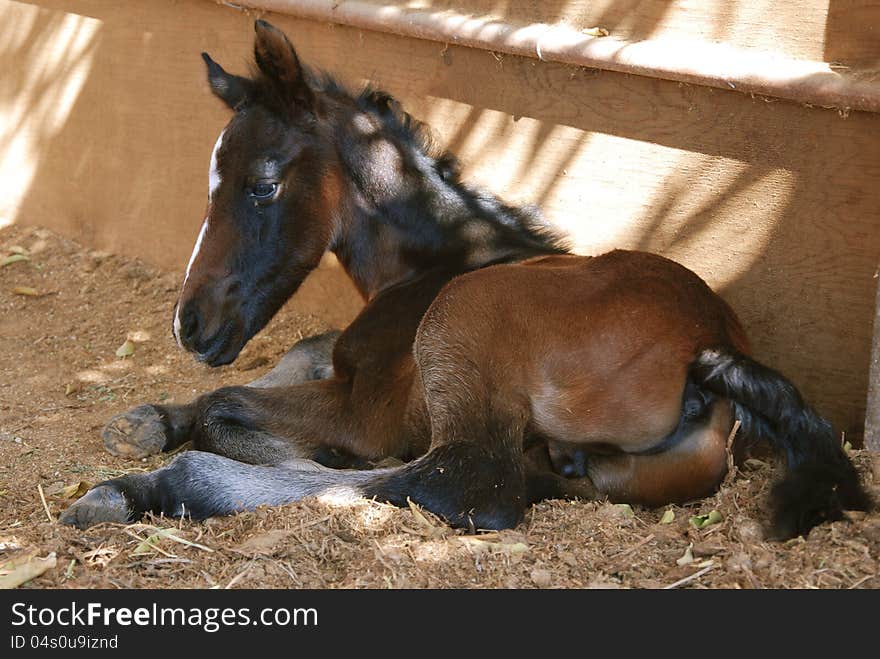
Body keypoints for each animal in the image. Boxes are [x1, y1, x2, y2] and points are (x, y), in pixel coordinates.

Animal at [60, 20, 868, 540]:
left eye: (261, 184)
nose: (189, 324)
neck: (439, 262)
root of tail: (713, 347)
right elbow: (298, 353)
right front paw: (150, 416)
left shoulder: (369, 403)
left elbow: (230, 403)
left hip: (463, 326)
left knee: (460, 483)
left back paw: (152, 488)